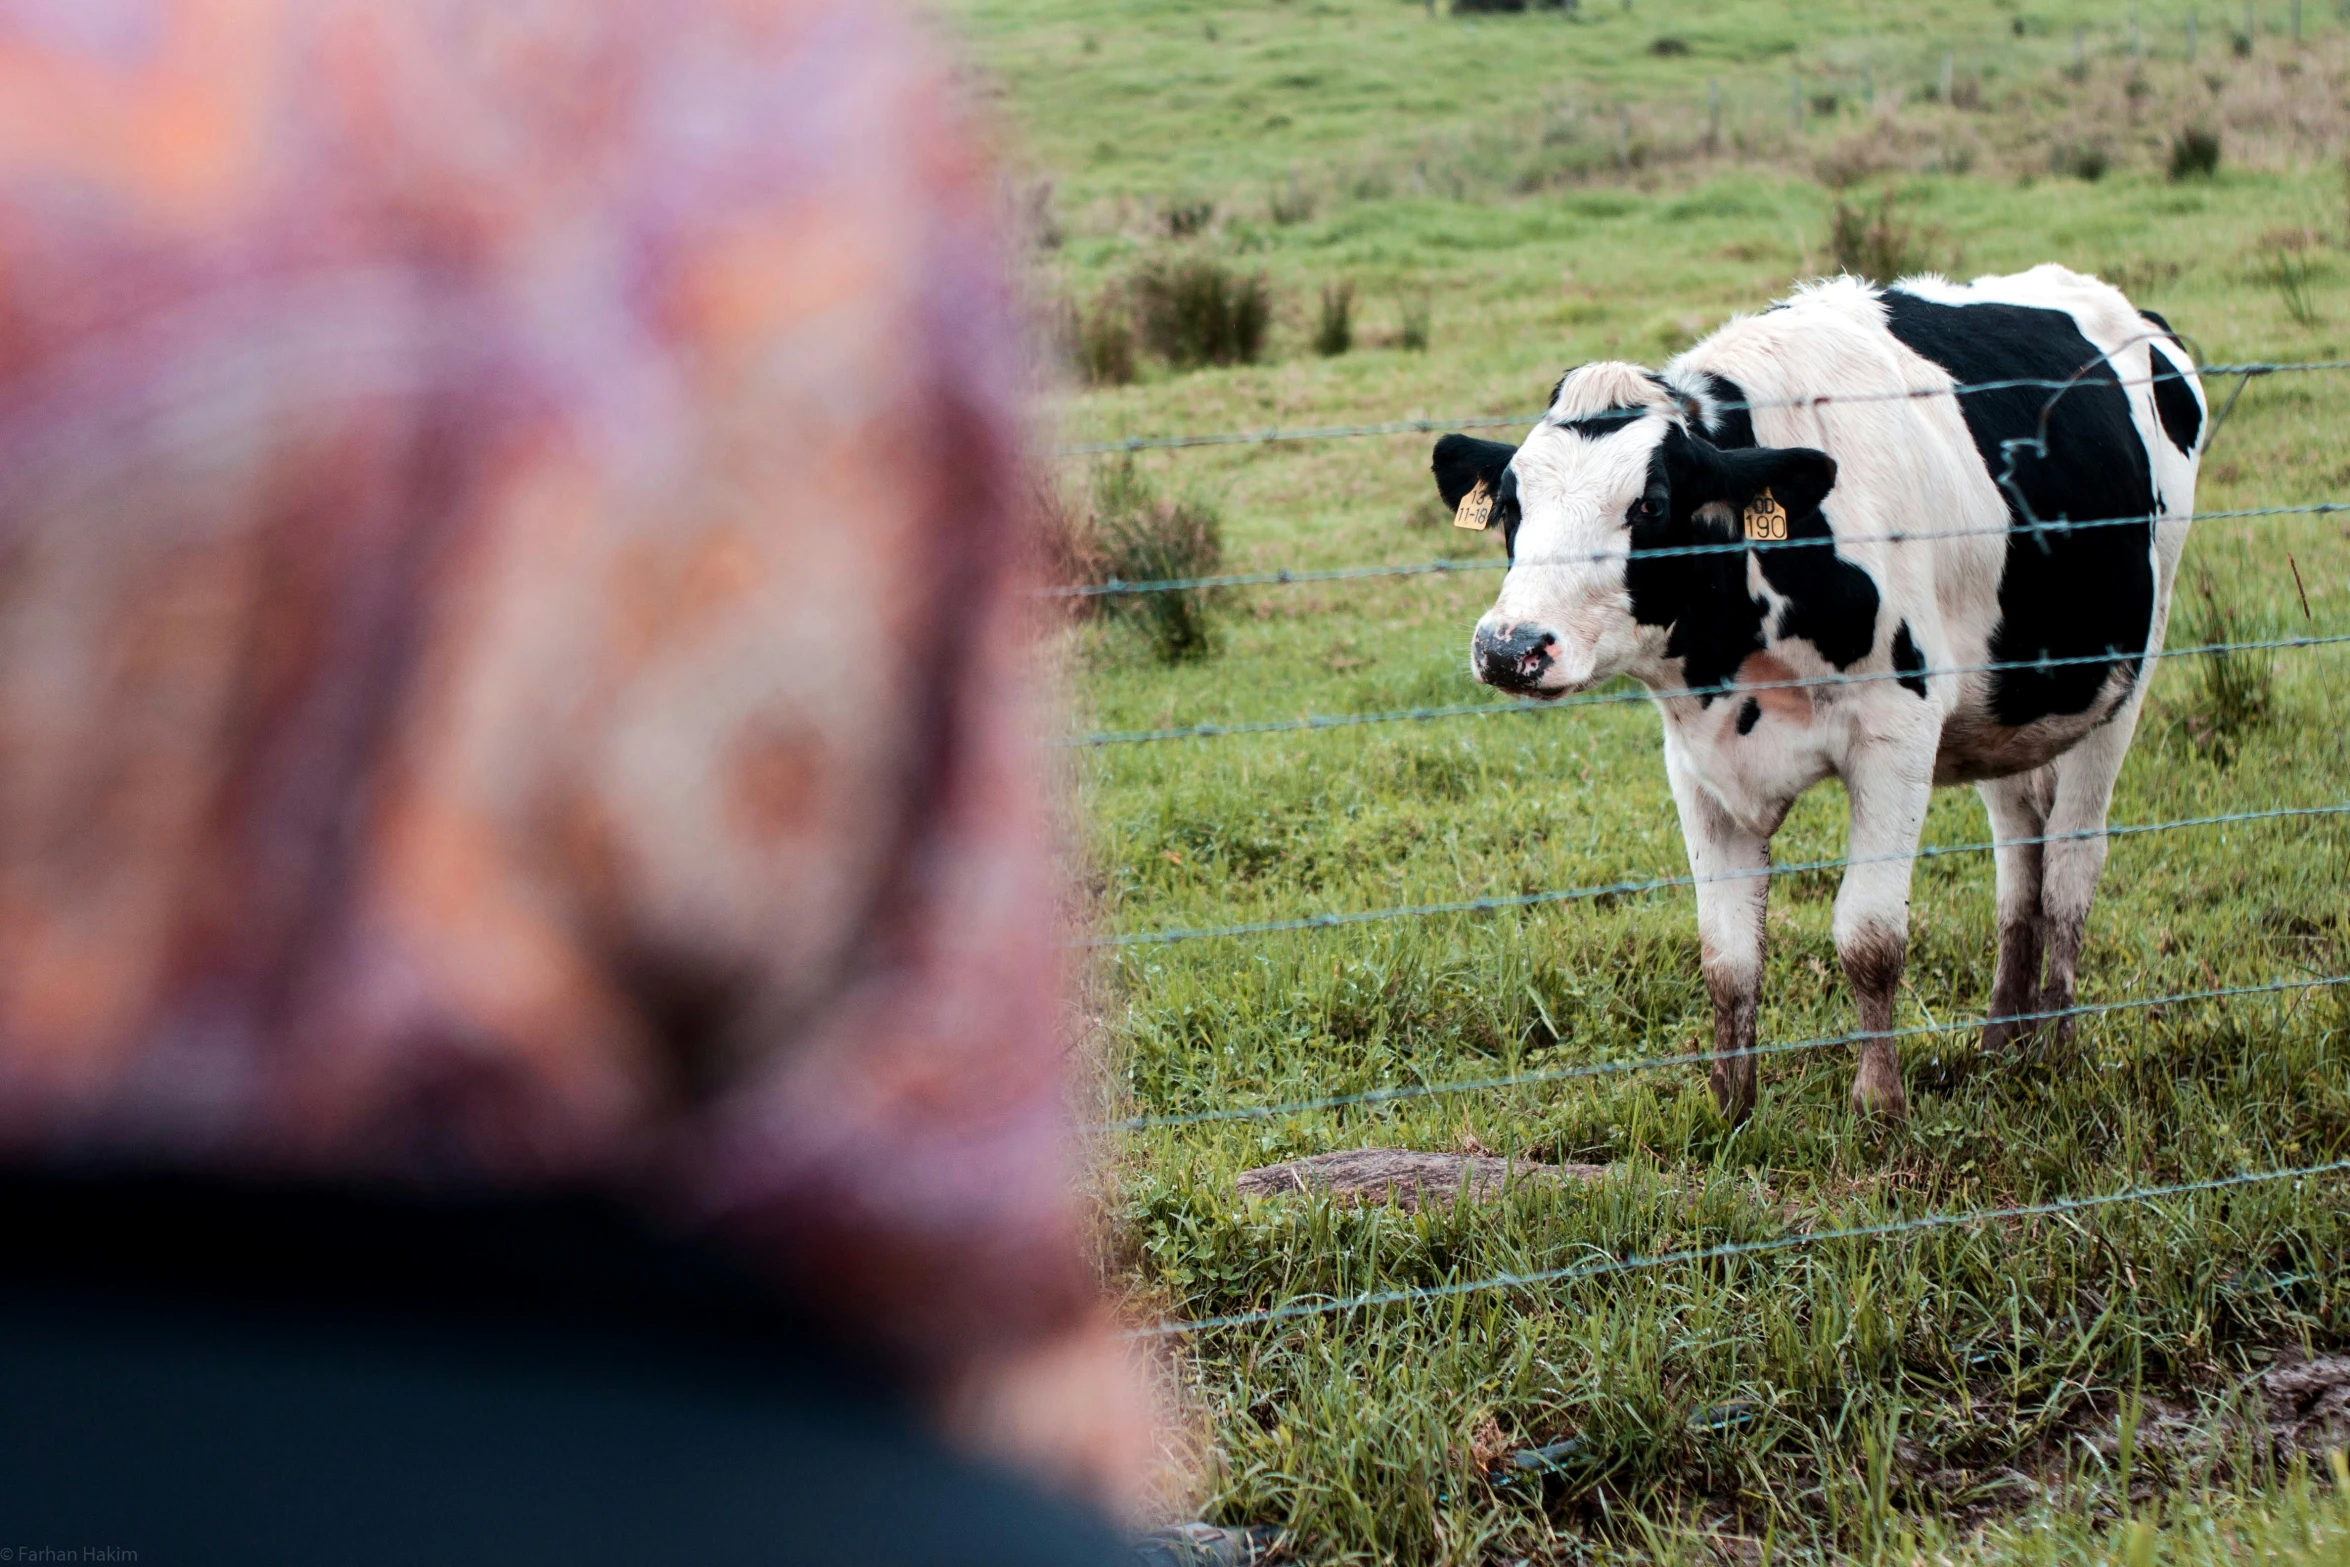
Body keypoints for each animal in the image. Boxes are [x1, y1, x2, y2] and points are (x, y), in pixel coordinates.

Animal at [1419, 272, 2209, 1127]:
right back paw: (2003, 1039)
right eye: (1509, 505)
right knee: (2018, 863)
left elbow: (1870, 936)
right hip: (2007, 709)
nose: (1510, 646)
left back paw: (2057, 1049)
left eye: (1651, 504)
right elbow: (1726, 955)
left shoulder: (1898, 737)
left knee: (2070, 866)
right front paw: (1731, 1109)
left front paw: (1879, 1104)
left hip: (2126, 672)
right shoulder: (1695, 763)